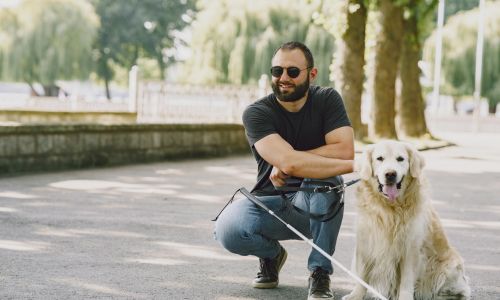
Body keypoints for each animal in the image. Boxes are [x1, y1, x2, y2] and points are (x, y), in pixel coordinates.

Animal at [342, 141, 470, 300]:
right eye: (379, 158)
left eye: (400, 159)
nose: (390, 174)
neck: (390, 208)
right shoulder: (367, 242)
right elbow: (362, 274)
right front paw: (356, 295)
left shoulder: (411, 247)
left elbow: (406, 279)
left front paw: (405, 297)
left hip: (449, 266)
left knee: (459, 292)